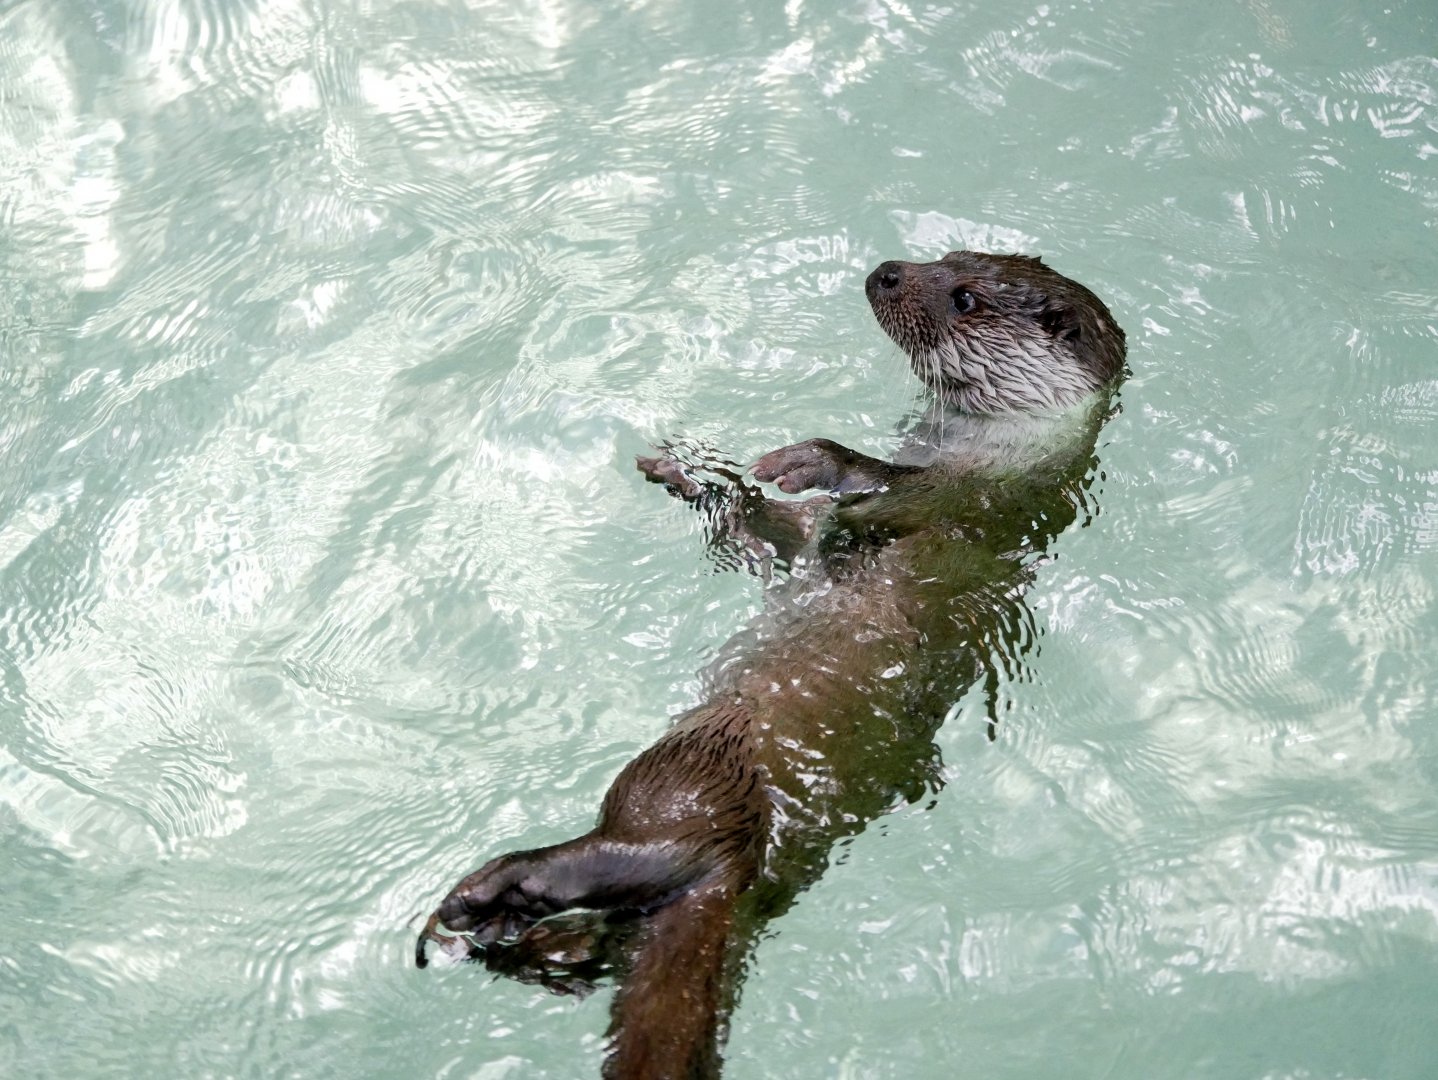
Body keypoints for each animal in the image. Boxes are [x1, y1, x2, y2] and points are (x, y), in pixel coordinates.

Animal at [415, 250, 1127, 1078]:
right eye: (950, 254)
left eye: (965, 297)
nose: (888, 271)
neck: (991, 457)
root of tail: (748, 880)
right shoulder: (822, 529)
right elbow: (775, 529)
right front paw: (693, 475)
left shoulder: (984, 504)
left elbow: (892, 494)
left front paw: (813, 459)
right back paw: (529, 944)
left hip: (688, 774)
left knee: (641, 854)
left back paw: (497, 893)